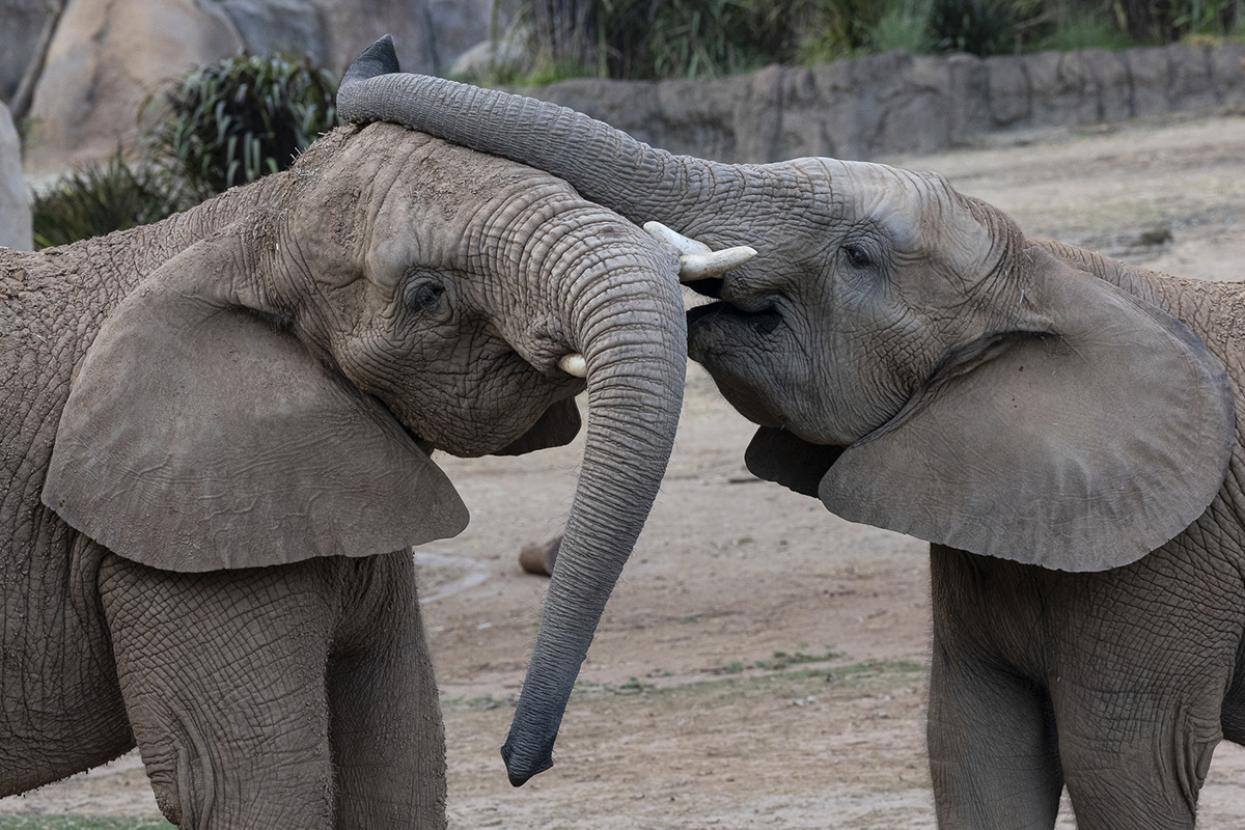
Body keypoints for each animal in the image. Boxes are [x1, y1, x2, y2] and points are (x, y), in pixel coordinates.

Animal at [0, 42, 757, 827]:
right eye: (427, 295)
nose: (522, 763)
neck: (253, 220)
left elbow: (400, 751)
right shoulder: (175, 535)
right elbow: (249, 783)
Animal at [339, 37, 1245, 827]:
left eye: (857, 256)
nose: (520, 765)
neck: (1058, 275)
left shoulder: (1174, 552)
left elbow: (1123, 765)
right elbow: (973, 745)